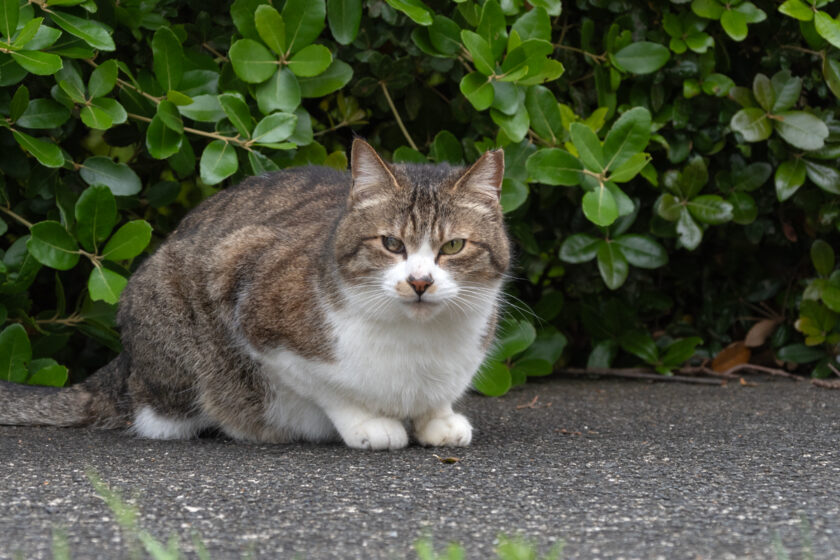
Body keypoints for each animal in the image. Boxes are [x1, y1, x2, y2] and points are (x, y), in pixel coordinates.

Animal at [0, 139, 512, 450]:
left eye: (453, 246)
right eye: (391, 244)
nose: (420, 282)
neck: (418, 343)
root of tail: (123, 364)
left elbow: (436, 398)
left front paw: (437, 419)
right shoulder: (249, 301)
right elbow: (329, 389)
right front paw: (368, 423)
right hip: (166, 302)